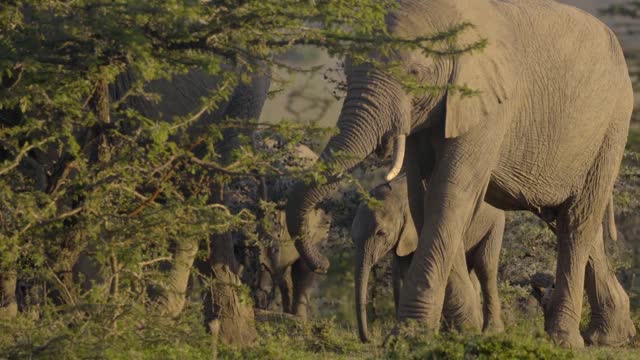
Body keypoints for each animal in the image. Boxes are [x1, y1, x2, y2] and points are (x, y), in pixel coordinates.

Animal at [350, 177, 504, 344]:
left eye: (381, 233)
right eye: (353, 237)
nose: (368, 339)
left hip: (495, 221)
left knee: (485, 267)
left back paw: (490, 331)